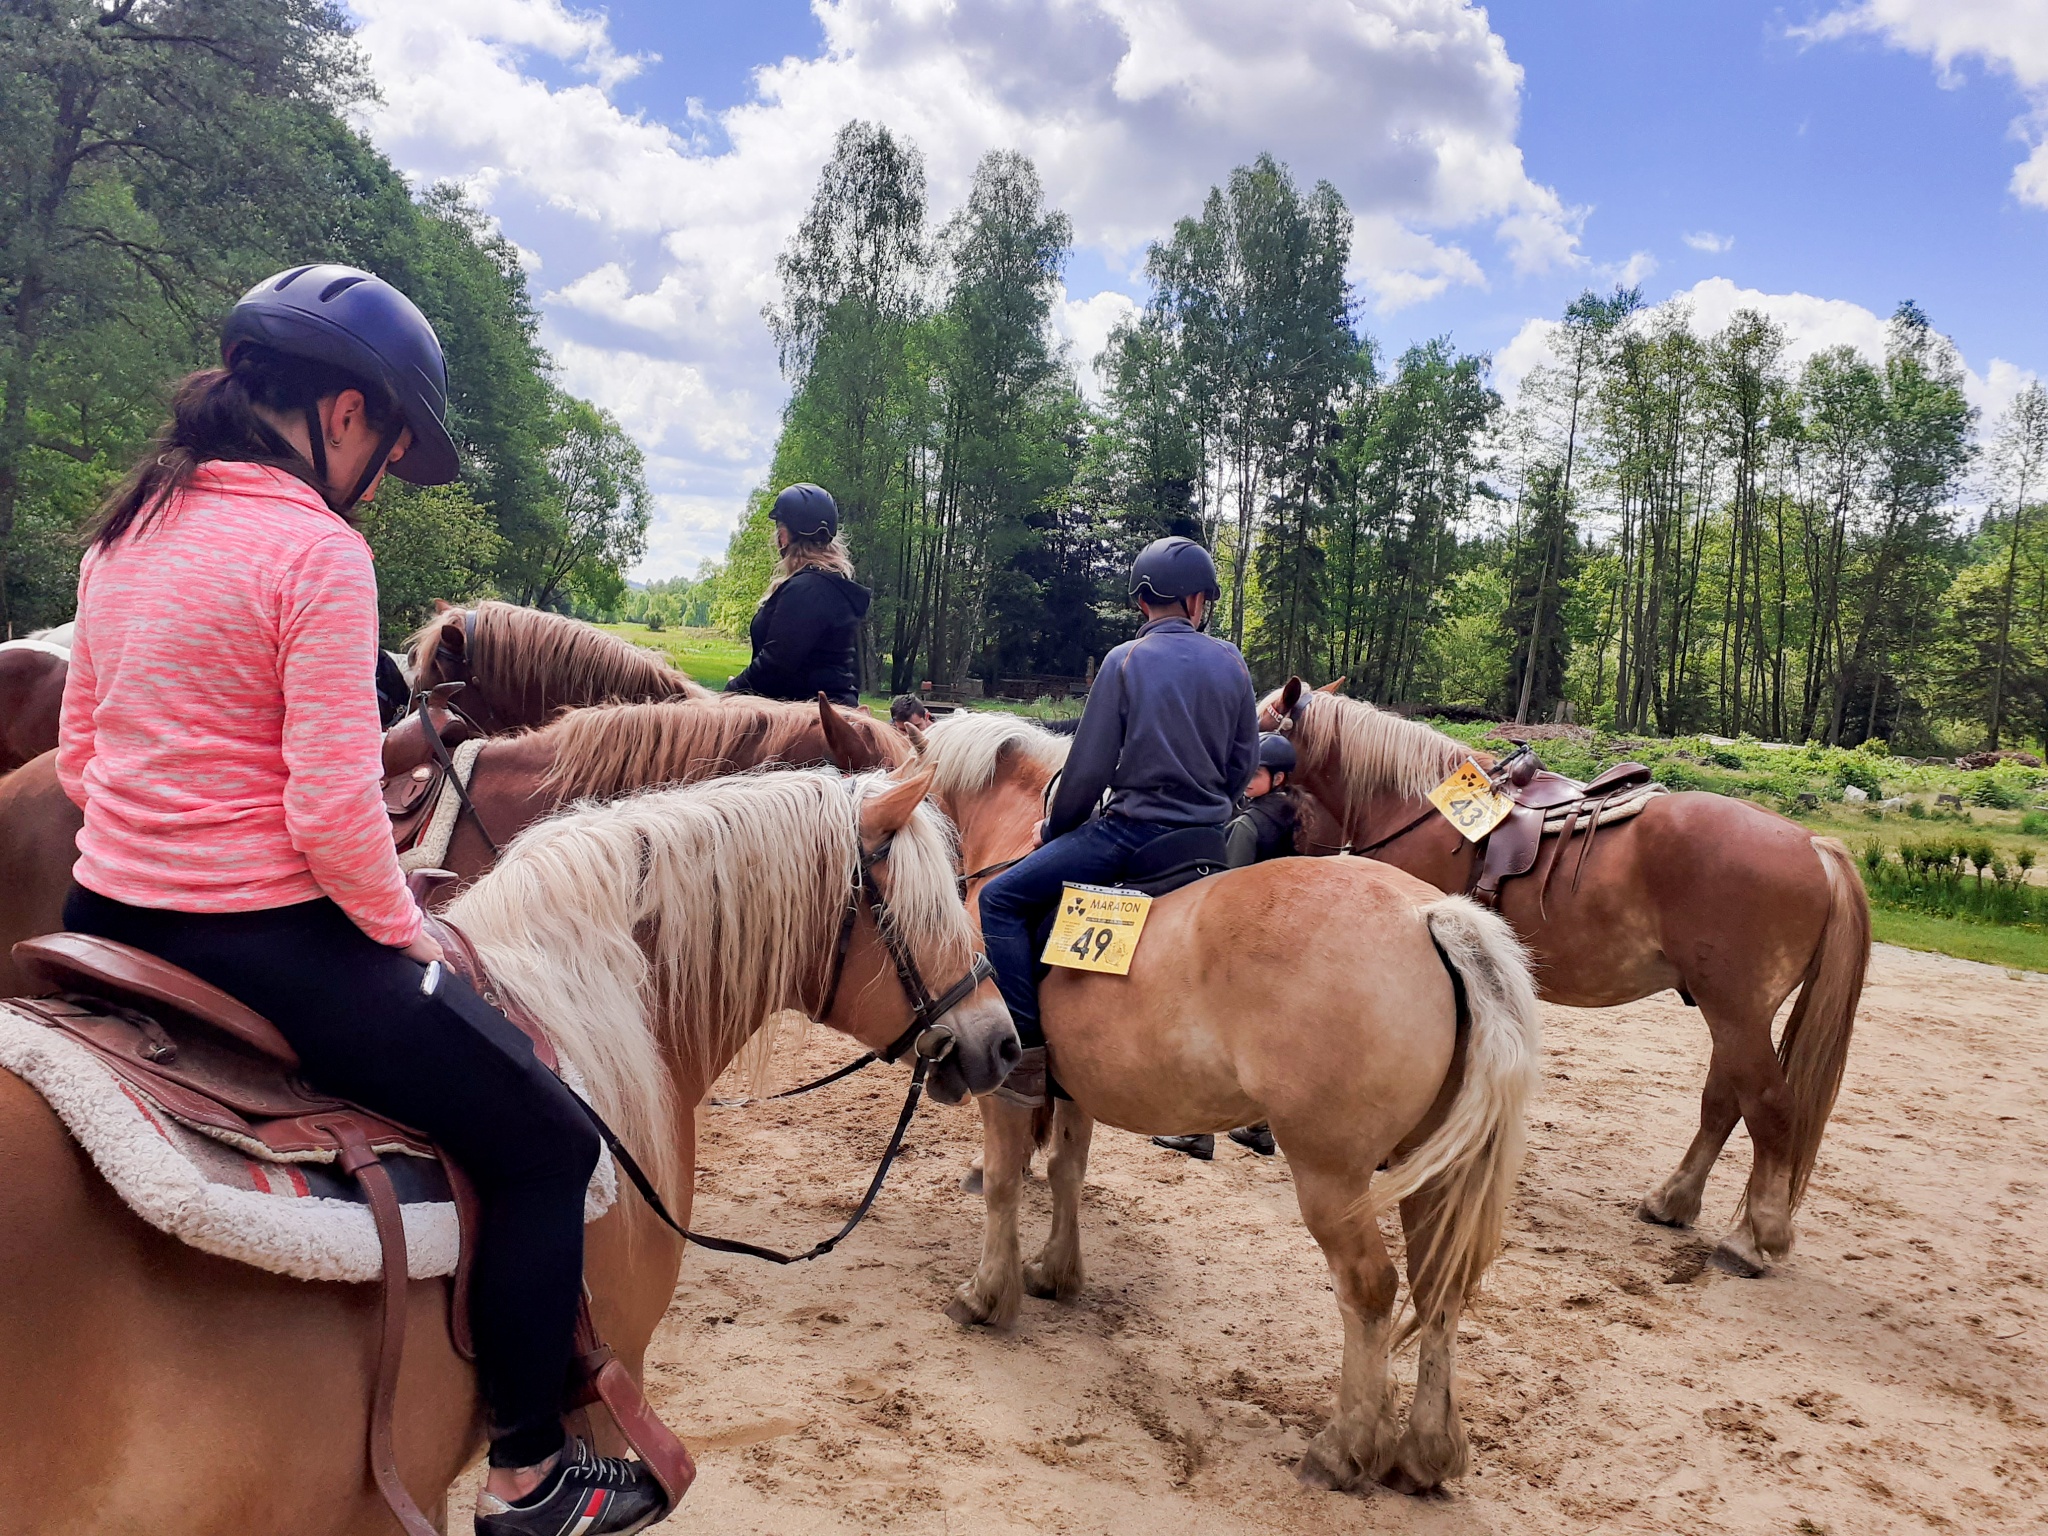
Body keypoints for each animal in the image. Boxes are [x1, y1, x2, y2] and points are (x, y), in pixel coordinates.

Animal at [921, 711, 1543, 1494]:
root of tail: (1430, 915)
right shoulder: (1075, 1090)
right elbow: (1067, 1172)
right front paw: (1054, 1273)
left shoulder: (1005, 1088)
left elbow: (1005, 1184)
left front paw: (985, 1294)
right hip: (1434, 1175)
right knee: (1440, 1288)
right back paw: (1427, 1451)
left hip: (1331, 1174)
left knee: (1370, 1289)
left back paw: (1346, 1446)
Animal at [1260, 678, 1869, 1278]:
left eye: (1263, 722)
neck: (1417, 806)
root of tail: (1813, 846)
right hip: (1736, 1015)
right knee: (1724, 1102)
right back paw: (1673, 1201)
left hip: (1737, 1011)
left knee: (1769, 1107)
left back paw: (1751, 1238)